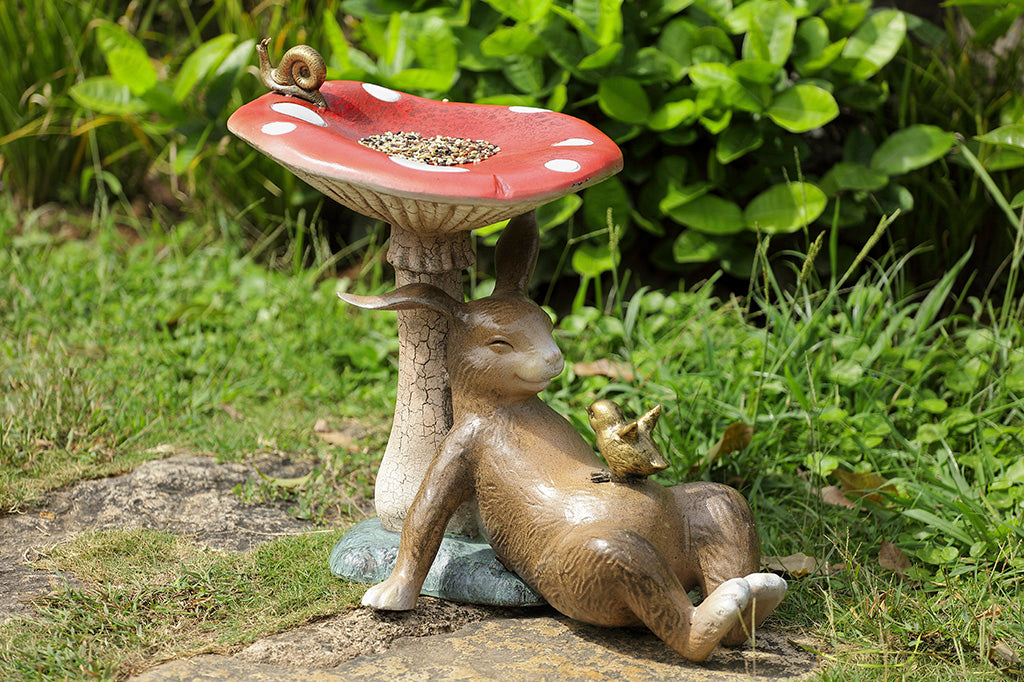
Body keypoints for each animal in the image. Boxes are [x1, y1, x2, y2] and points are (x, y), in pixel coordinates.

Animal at [339, 210, 786, 659]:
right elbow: (423, 519)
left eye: (548, 323)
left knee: (723, 537)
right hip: (593, 561)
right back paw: (737, 600)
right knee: (681, 622)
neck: (506, 408)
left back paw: (758, 593)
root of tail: (676, 564)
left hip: (717, 508)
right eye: (499, 343)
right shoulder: (463, 443)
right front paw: (389, 596)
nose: (554, 358)